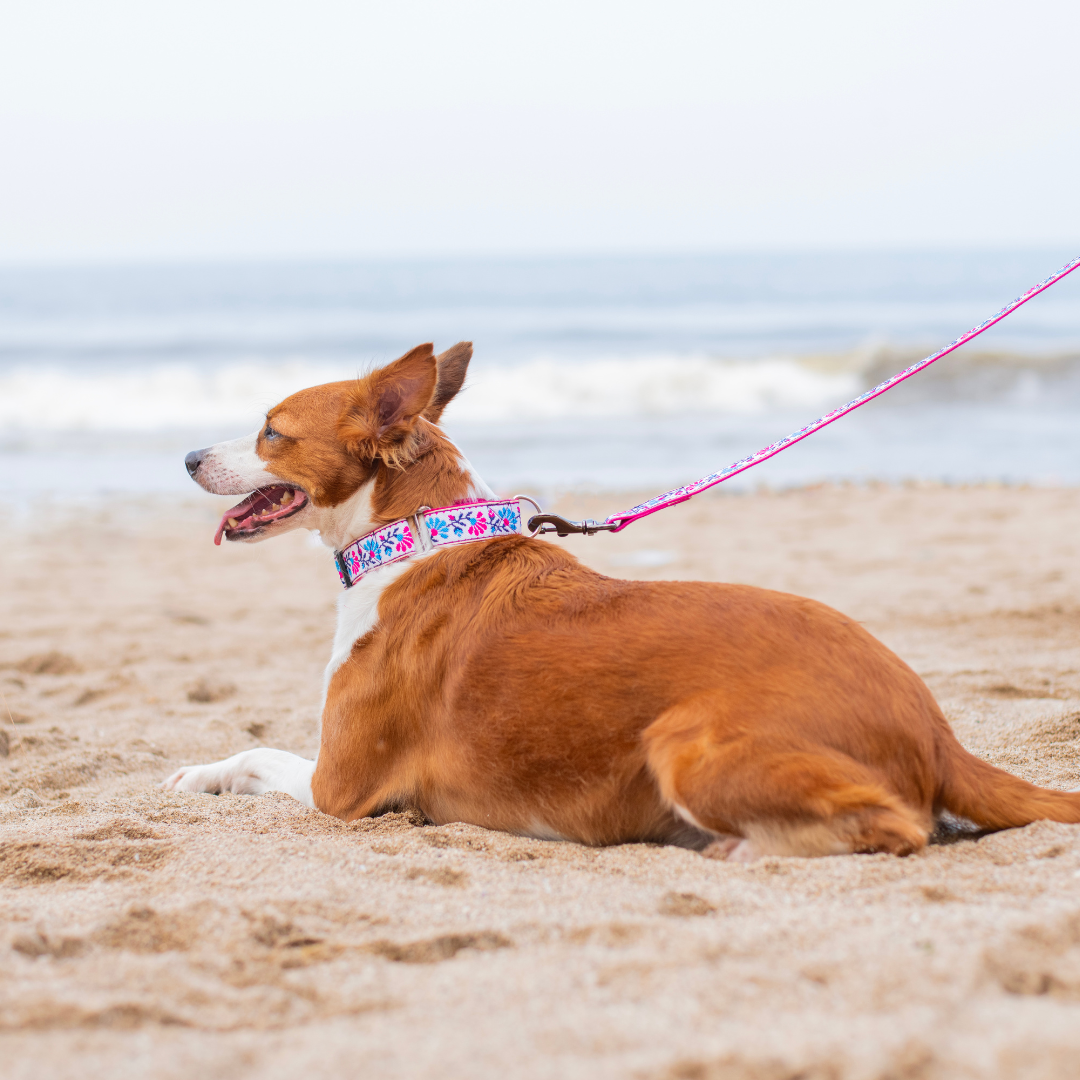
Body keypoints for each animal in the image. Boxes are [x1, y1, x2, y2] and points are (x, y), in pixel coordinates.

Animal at [162, 341, 1080, 855]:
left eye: (271, 430)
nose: (187, 456)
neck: (415, 536)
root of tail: (934, 725)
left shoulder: (339, 789)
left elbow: (255, 752)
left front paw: (195, 774)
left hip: (684, 741)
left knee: (899, 828)